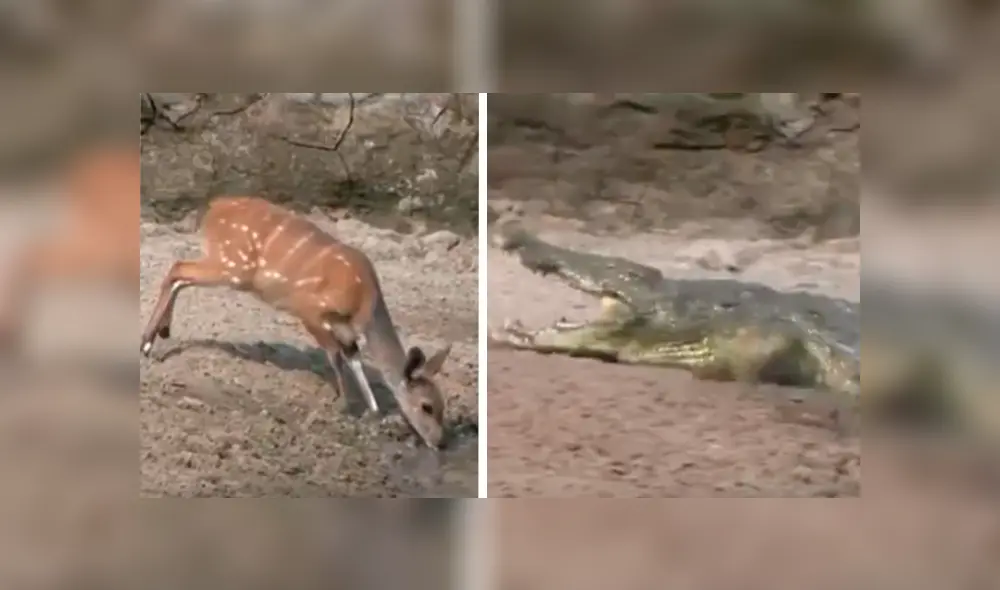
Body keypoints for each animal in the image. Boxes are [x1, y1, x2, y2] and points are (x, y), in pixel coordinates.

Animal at [139, 196, 453, 449]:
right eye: (426, 406)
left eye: (442, 406)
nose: (439, 443)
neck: (364, 302)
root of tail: (213, 208)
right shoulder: (310, 311)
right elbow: (335, 356)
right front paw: (345, 406)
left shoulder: (345, 331)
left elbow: (354, 358)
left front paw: (374, 411)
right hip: (234, 267)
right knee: (178, 268)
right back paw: (146, 343)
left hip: (229, 268)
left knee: (180, 274)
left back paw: (162, 333)